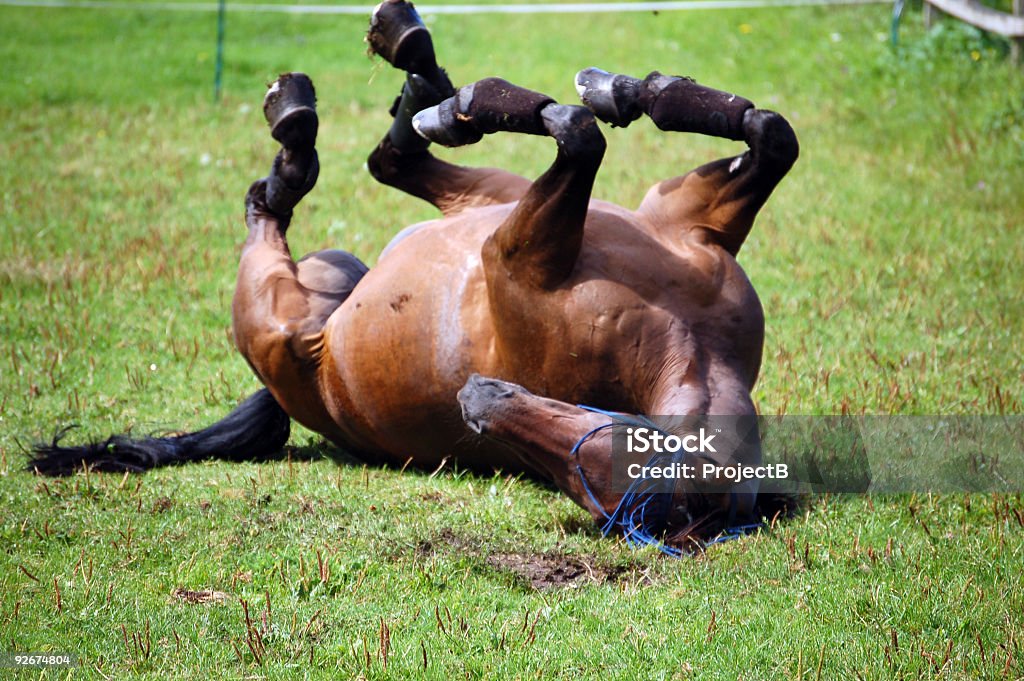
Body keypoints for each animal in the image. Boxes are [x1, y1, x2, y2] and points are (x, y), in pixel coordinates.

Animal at [29, 1, 798, 552]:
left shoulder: (511, 253)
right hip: (483, 198)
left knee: (287, 201)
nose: (480, 400)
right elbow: (768, 134)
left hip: (278, 320)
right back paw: (414, 79)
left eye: (592, 477)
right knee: (390, 161)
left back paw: (319, 128)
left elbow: (584, 135)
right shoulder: (678, 217)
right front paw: (637, 90)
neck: (686, 339)